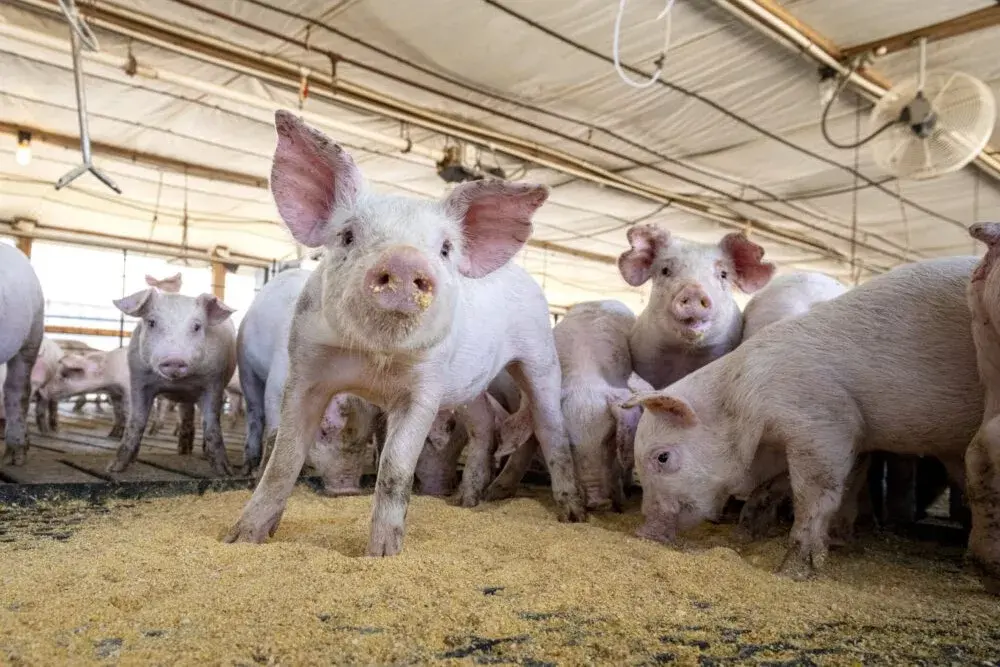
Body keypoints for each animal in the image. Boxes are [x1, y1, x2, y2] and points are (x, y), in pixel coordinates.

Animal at [110, 288, 237, 474]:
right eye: (152, 322)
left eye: (197, 326)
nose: (175, 359)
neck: (178, 384)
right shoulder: (138, 379)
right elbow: (136, 422)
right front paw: (115, 468)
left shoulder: (214, 383)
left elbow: (211, 425)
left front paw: (225, 472)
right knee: (186, 414)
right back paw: (183, 451)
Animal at [225, 111, 584, 557]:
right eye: (348, 235)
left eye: (445, 248)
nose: (403, 259)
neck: (374, 360)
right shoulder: (304, 367)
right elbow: (283, 457)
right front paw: (240, 539)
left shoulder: (425, 387)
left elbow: (395, 467)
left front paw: (382, 556)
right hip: (468, 383)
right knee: (485, 424)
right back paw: (468, 501)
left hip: (539, 354)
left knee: (551, 428)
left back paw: (571, 515)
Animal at [625, 256, 982, 581]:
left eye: (662, 457)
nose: (642, 533)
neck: (745, 404)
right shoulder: (849, 439)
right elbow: (795, 485)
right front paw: (750, 533)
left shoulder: (825, 424)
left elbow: (816, 493)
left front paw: (791, 570)